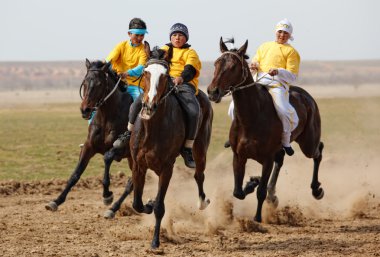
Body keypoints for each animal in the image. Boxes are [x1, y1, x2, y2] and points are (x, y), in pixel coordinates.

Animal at [44, 57, 137, 211]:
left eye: (99, 84)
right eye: (85, 82)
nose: (85, 110)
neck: (107, 116)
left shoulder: (120, 149)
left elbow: (107, 159)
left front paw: (107, 195)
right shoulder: (88, 147)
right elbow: (75, 174)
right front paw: (56, 201)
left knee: (133, 182)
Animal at [107, 46, 214, 248]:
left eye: (165, 75)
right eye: (146, 72)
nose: (149, 104)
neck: (153, 129)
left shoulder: (166, 168)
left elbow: (159, 207)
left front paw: (155, 241)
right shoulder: (138, 165)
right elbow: (138, 203)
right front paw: (148, 203)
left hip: (201, 149)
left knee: (199, 174)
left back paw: (202, 201)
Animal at [206, 38, 326, 222]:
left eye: (233, 66)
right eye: (216, 63)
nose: (213, 92)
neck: (251, 117)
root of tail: (307, 97)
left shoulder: (267, 159)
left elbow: (260, 191)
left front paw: (257, 217)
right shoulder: (238, 156)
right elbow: (238, 192)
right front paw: (251, 183)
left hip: (308, 144)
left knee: (318, 152)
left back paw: (316, 190)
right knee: (282, 159)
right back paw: (272, 196)